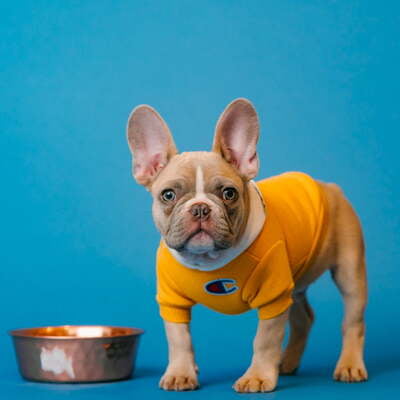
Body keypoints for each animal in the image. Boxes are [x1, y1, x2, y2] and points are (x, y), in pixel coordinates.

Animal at [126, 98, 368, 392]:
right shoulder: (172, 301)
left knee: (352, 322)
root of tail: (331, 187)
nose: (200, 208)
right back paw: (288, 362)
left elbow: (264, 340)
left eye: (229, 193)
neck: (208, 260)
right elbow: (179, 339)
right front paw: (181, 373)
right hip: (294, 283)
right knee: (304, 318)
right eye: (168, 195)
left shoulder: (273, 296)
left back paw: (349, 365)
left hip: (349, 273)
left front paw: (258, 376)